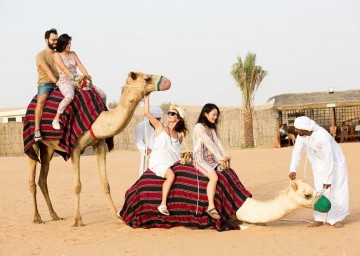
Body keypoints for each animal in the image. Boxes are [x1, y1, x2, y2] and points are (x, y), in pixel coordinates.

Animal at [27, 71, 171, 226]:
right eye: (146, 78)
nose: (167, 81)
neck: (97, 122)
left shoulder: (100, 145)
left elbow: (105, 184)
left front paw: (117, 217)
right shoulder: (75, 148)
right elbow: (77, 185)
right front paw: (77, 220)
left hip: (48, 148)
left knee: (42, 180)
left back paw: (54, 215)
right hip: (33, 144)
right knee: (32, 181)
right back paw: (37, 217)